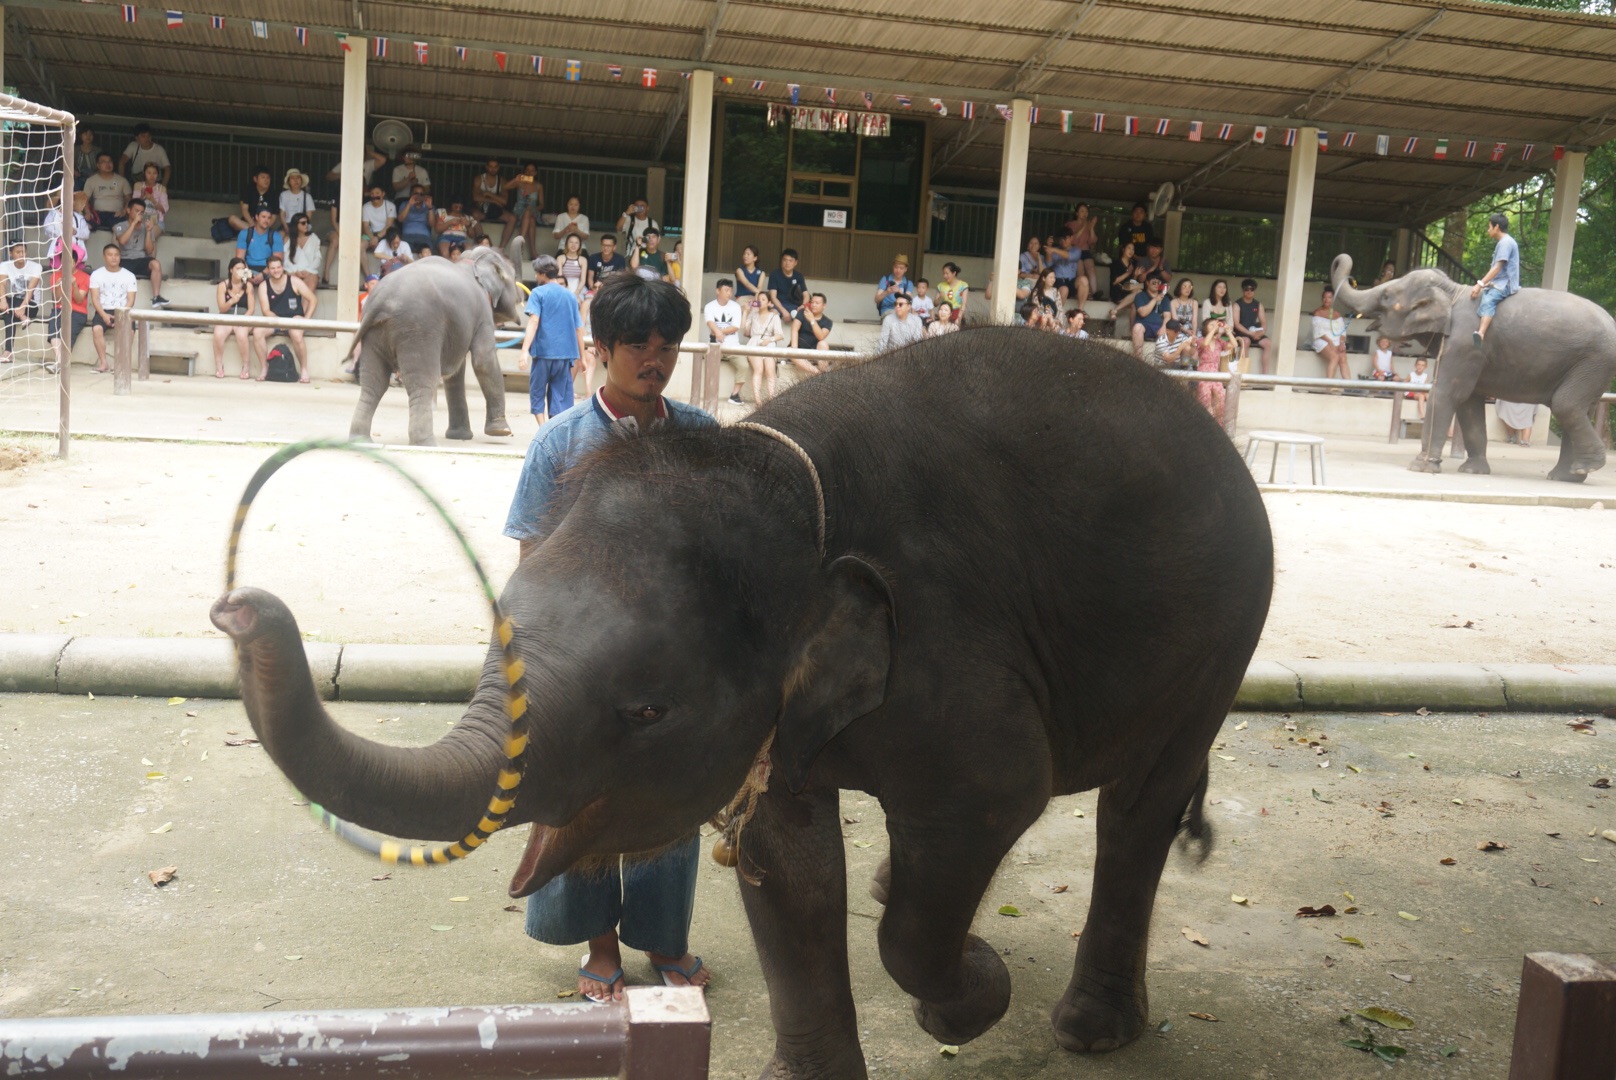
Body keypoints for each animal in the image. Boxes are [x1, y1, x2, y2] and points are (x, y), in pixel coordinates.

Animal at [214, 331, 1273, 1080]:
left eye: (645, 711)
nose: (238, 607)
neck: (792, 479)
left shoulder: (951, 647)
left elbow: (997, 795)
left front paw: (968, 997)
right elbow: (782, 860)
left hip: (1228, 629)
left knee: (1139, 807)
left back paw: (1091, 1031)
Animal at [347, 245, 523, 446]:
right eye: (513, 276)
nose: (521, 297)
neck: (471, 262)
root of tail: (381, 300)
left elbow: (455, 373)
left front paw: (460, 436)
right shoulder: (483, 314)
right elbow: (483, 361)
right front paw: (501, 431)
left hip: (374, 334)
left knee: (374, 384)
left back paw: (360, 440)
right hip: (418, 330)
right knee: (423, 381)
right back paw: (426, 443)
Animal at [1331, 253, 1609, 481]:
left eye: (1386, 296)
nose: (1348, 269)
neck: (1453, 291)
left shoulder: (1465, 343)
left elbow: (1446, 393)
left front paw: (1420, 467)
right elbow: (1468, 402)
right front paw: (1473, 471)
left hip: (1592, 362)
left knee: (1566, 405)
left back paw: (1586, 467)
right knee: (1577, 408)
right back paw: (1569, 475)